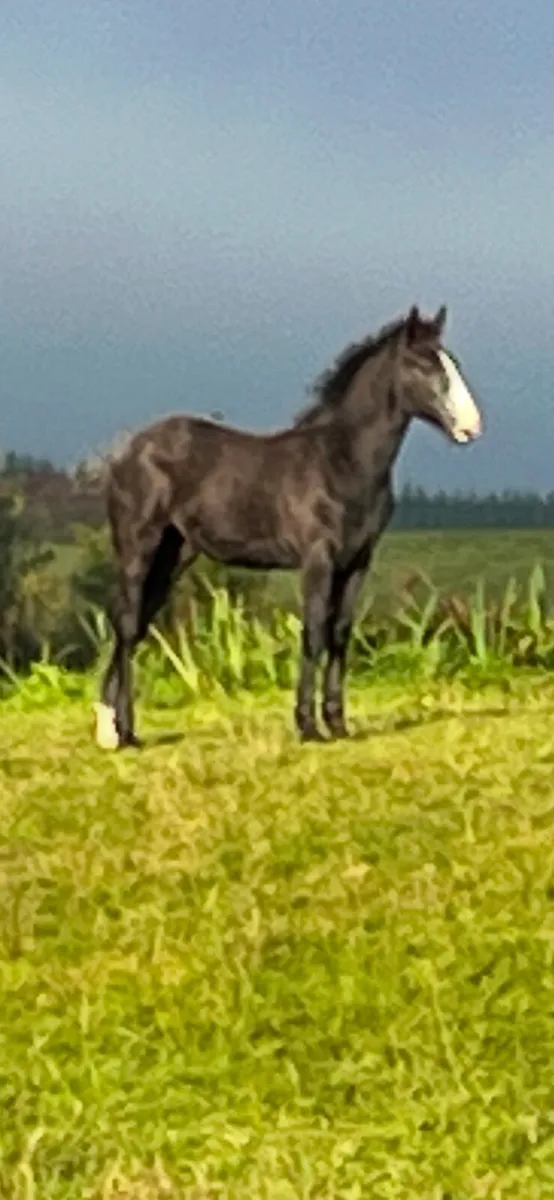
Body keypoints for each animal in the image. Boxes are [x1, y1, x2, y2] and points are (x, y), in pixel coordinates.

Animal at [93, 304, 482, 749]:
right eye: (424, 366)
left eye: (453, 363)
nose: (471, 427)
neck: (341, 461)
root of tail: (126, 452)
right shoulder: (318, 559)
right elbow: (313, 632)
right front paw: (308, 726)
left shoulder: (357, 562)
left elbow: (339, 633)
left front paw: (338, 724)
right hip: (139, 548)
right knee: (126, 625)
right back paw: (123, 734)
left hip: (173, 556)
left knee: (134, 625)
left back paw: (115, 728)